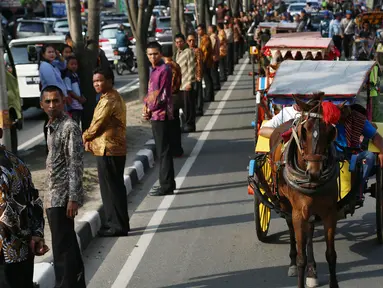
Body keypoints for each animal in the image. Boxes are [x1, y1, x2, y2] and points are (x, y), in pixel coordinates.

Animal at [272, 93, 340, 286]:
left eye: (330, 132)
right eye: (304, 132)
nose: (314, 173)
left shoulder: (329, 212)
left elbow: (331, 254)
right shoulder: (297, 213)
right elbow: (301, 254)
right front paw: (299, 266)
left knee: (309, 229)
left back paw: (312, 270)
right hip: (285, 204)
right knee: (291, 229)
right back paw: (293, 263)